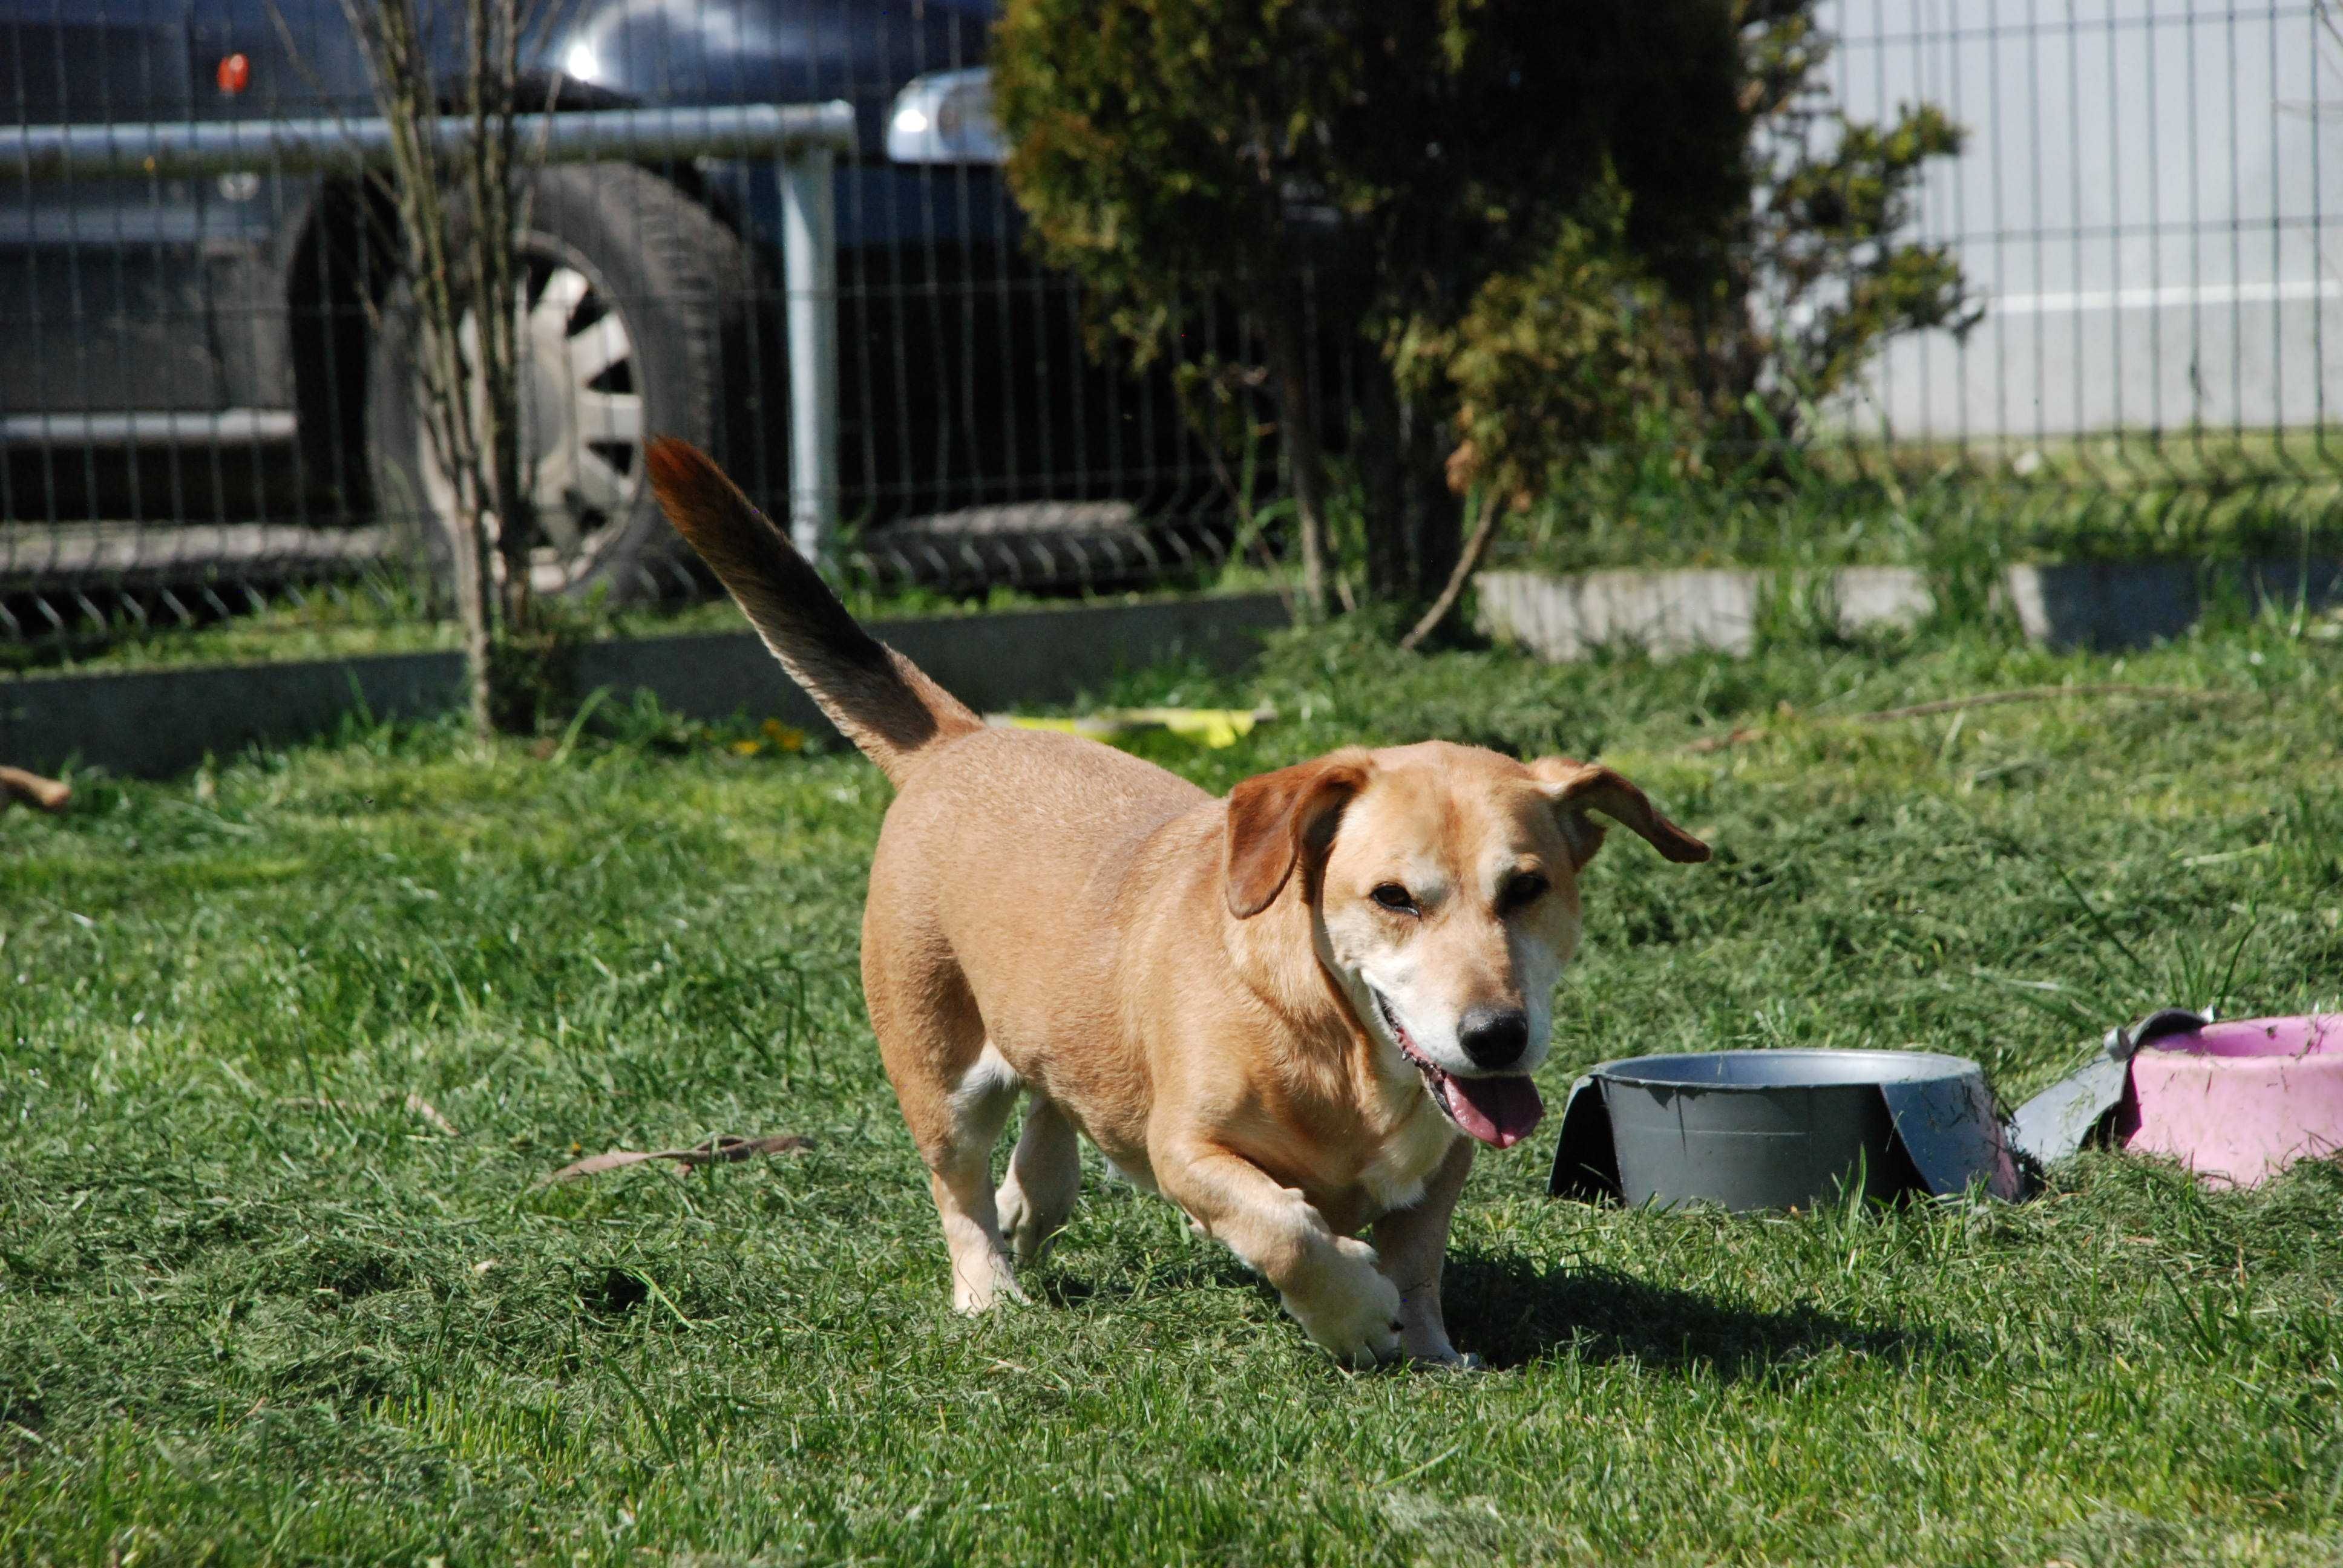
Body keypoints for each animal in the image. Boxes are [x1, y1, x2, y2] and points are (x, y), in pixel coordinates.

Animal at [641, 438, 1705, 1359]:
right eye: (1394, 897)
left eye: (1527, 889)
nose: (1496, 1037)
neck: (1343, 1051)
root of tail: (960, 742)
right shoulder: (1187, 1150)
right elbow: (1285, 1228)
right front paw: (1355, 1314)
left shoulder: (1442, 1161)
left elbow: (1419, 1262)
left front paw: (1434, 1351)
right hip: (936, 1066)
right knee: (959, 1186)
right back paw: (990, 1290)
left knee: (1051, 1120)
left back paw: (1033, 1199)